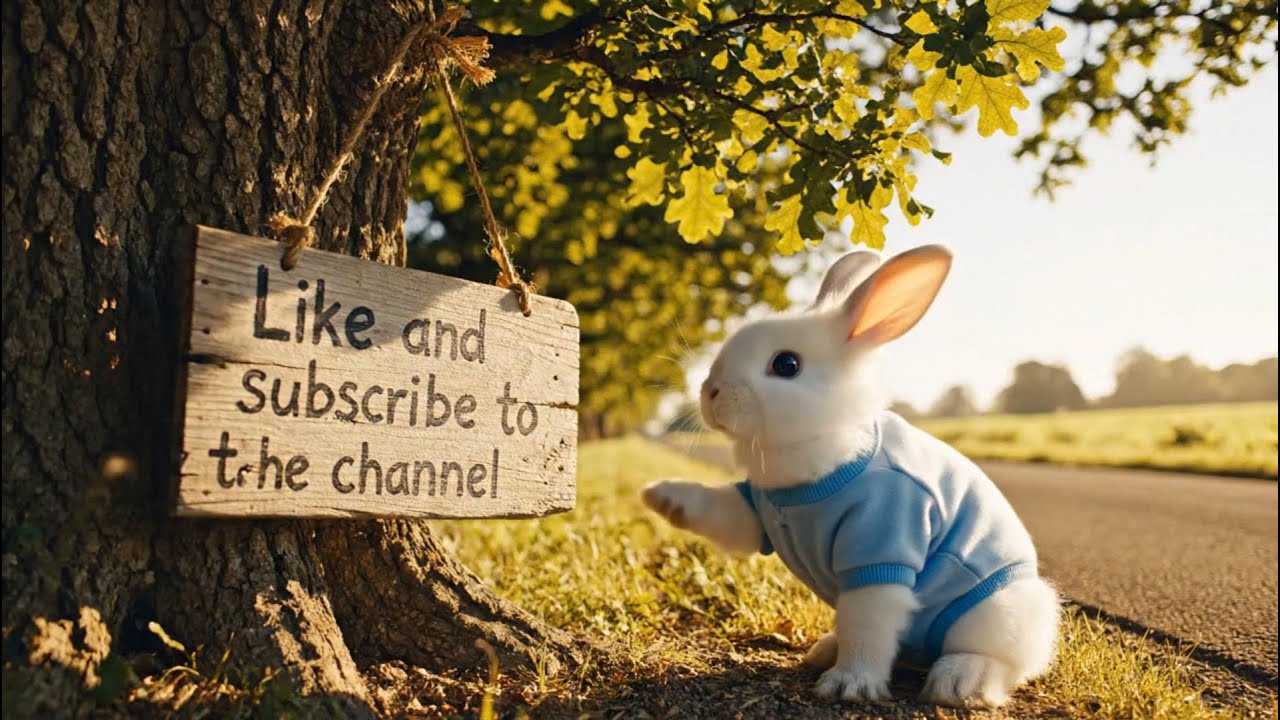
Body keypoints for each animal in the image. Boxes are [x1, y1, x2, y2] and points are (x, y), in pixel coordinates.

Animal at [642, 245, 1060, 708]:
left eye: (786, 364)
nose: (710, 391)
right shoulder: (756, 513)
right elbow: (719, 509)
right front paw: (662, 496)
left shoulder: (880, 552)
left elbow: (867, 628)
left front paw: (849, 686)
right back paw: (824, 649)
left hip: (994, 613)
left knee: (1002, 661)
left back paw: (957, 682)